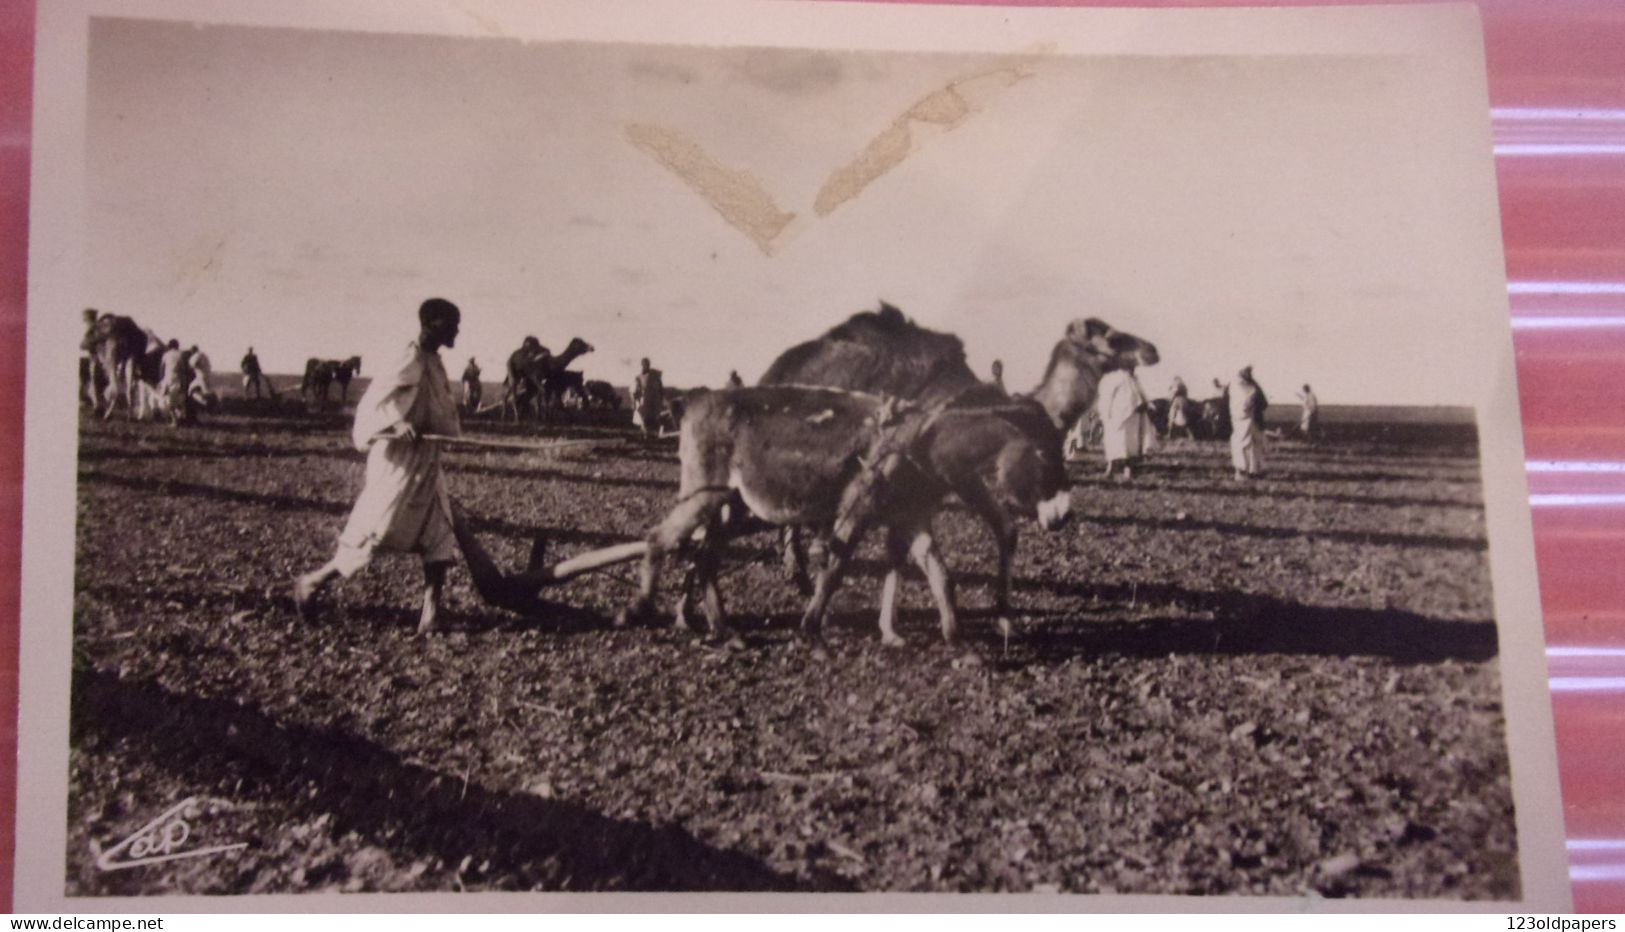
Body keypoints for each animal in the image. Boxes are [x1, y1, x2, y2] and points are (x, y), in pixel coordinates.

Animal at [760, 306, 1157, 629]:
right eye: (1112, 337)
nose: (1151, 349)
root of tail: (774, 370)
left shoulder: (953, 475)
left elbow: (1004, 530)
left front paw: (1003, 615)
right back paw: (797, 572)